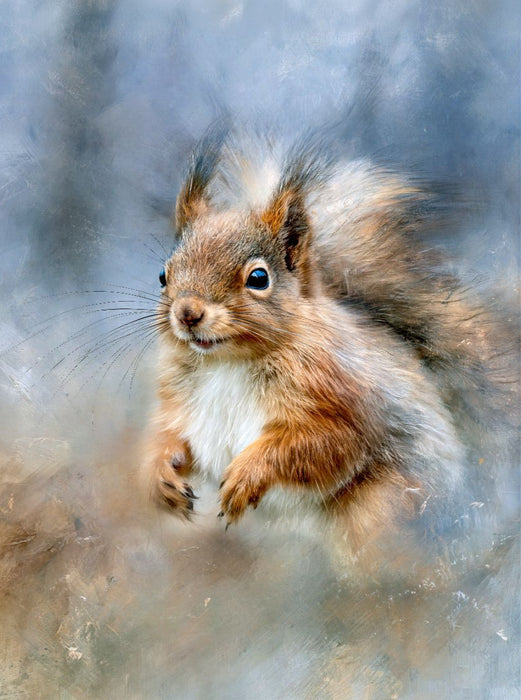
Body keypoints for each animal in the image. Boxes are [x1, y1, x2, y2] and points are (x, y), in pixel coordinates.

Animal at [141, 129, 512, 545]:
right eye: (163, 275)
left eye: (259, 278)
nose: (188, 313)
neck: (226, 363)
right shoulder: (179, 401)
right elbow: (169, 435)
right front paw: (160, 475)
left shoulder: (345, 399)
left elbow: (323, 446)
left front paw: (246, 476)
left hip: (383, 509)